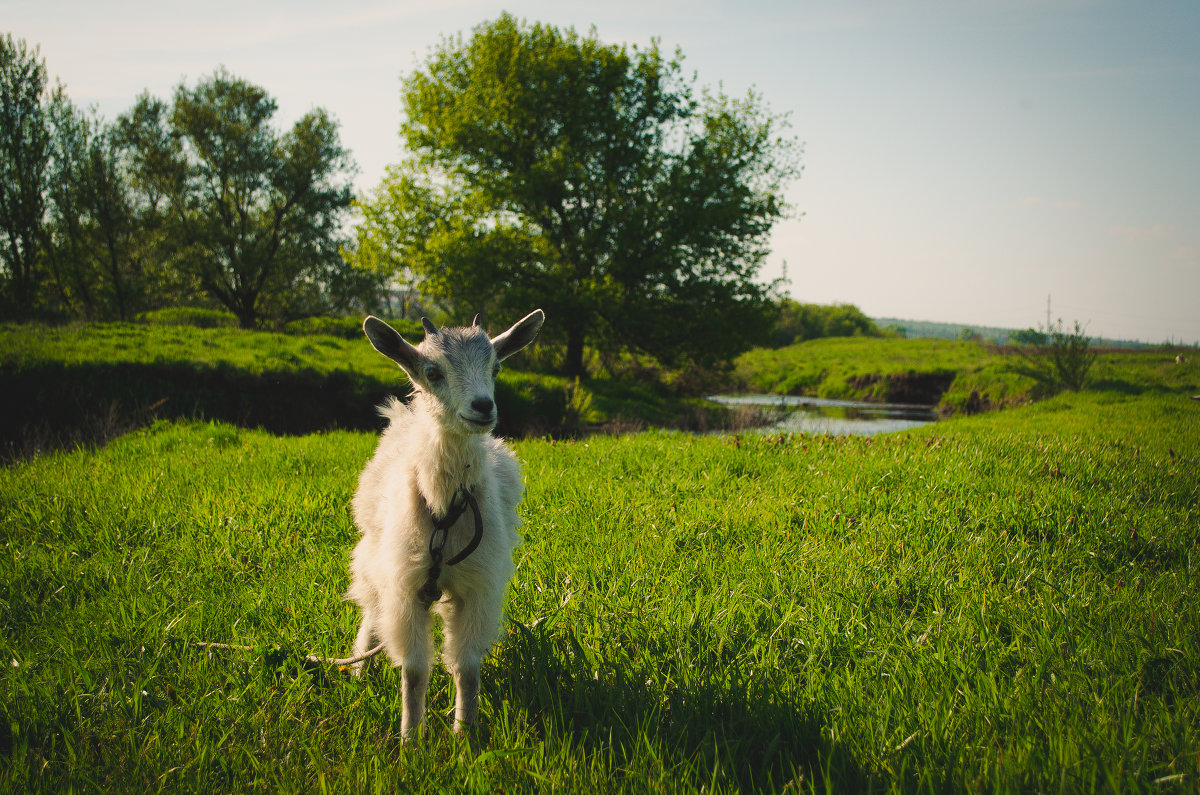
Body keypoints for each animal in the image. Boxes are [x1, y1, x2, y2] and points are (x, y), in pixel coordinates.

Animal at [348, 309, 544, 739]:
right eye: (432, 372)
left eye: (496, 368)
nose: (483, 406)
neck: (444, 510)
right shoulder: (406, 586)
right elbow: (414, 671)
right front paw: (410, 740)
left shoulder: (477, 585)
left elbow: (466, 668)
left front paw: (464, 735)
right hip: (373, 559)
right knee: (371, 611)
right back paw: (358, 671)